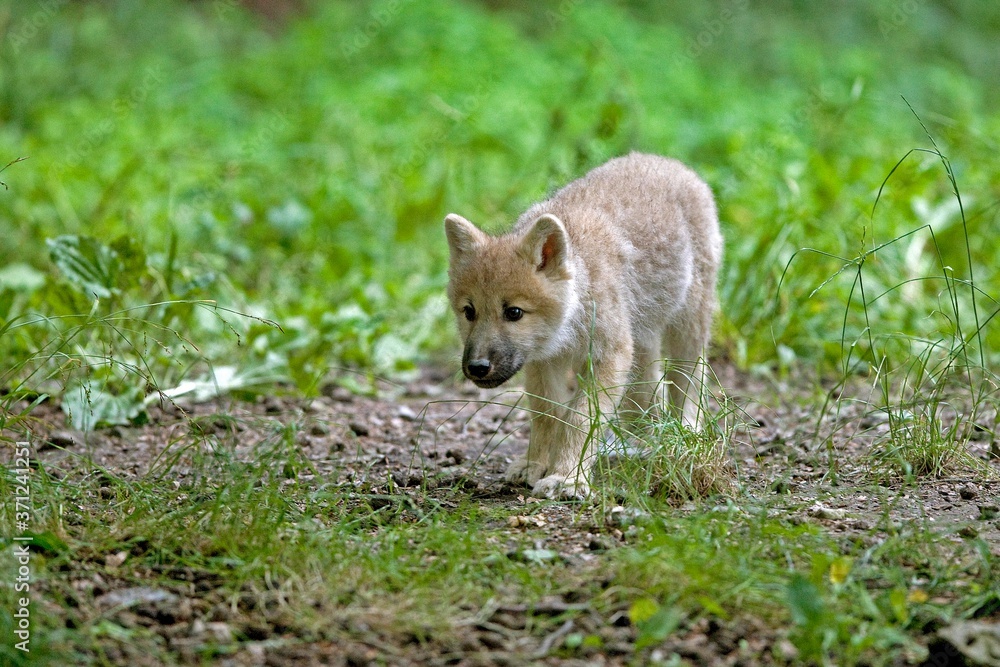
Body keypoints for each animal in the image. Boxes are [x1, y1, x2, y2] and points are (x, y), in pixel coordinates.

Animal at [444, 152, 722, 499]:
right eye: (469, 312)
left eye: (514, 312)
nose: (478, 367)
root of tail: (668, 161)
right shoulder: (544, 363)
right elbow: (547, 416)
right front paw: (536, 464)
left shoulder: (609, 357)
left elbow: (579, 419)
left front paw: (568, 478)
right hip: (641, 338)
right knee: (646, 393)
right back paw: (645, 440)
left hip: (687, 324)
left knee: (689, 378)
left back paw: (683, 435)